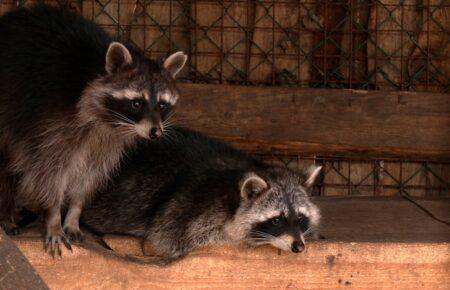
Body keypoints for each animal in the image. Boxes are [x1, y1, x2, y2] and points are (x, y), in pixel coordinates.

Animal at [0, 3, 187, 255]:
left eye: (162, 105)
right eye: (137, 103)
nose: (155, 132)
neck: (109, 122)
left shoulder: (108, 143)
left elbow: (90, 175)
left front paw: (73, 214)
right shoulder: (52, 124)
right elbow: (49, 172)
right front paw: (53, 216)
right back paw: (6, 211)